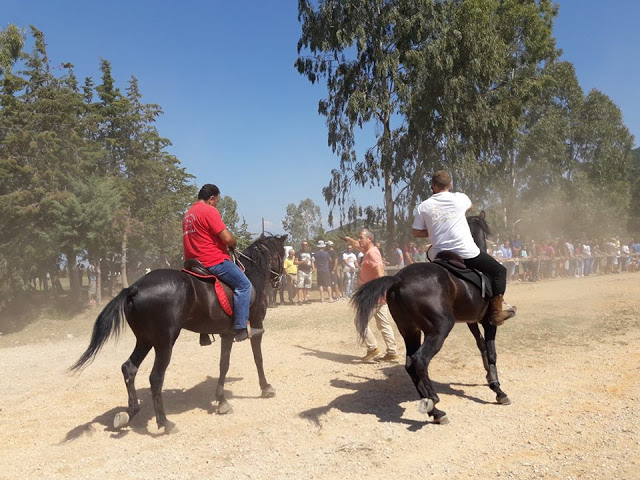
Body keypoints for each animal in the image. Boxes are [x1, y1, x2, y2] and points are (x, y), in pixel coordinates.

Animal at [69, 234, 284, 434]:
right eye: (282, 254)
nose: (278, 280)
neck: (251, 275)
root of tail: (135, 288)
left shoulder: (226, 334)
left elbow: (223, 365)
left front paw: (221, 401)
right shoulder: (254, 325)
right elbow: (257, 359)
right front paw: (265, 388)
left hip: (144, 340)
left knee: (129, 368)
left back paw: (130, 411)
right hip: (164, 343)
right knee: (155, 378)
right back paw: (164, 422)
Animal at [350, 214, 510, 424]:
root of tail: (398, 280)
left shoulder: (471, 321)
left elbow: (482, 346)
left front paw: (489, 378)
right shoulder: (487, 321)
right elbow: (491, 352)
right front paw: (498, 390)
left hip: (410, 331)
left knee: (410, 363)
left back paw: (434, 410)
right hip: (439, 329)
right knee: (420, 360)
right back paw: (434, 401)